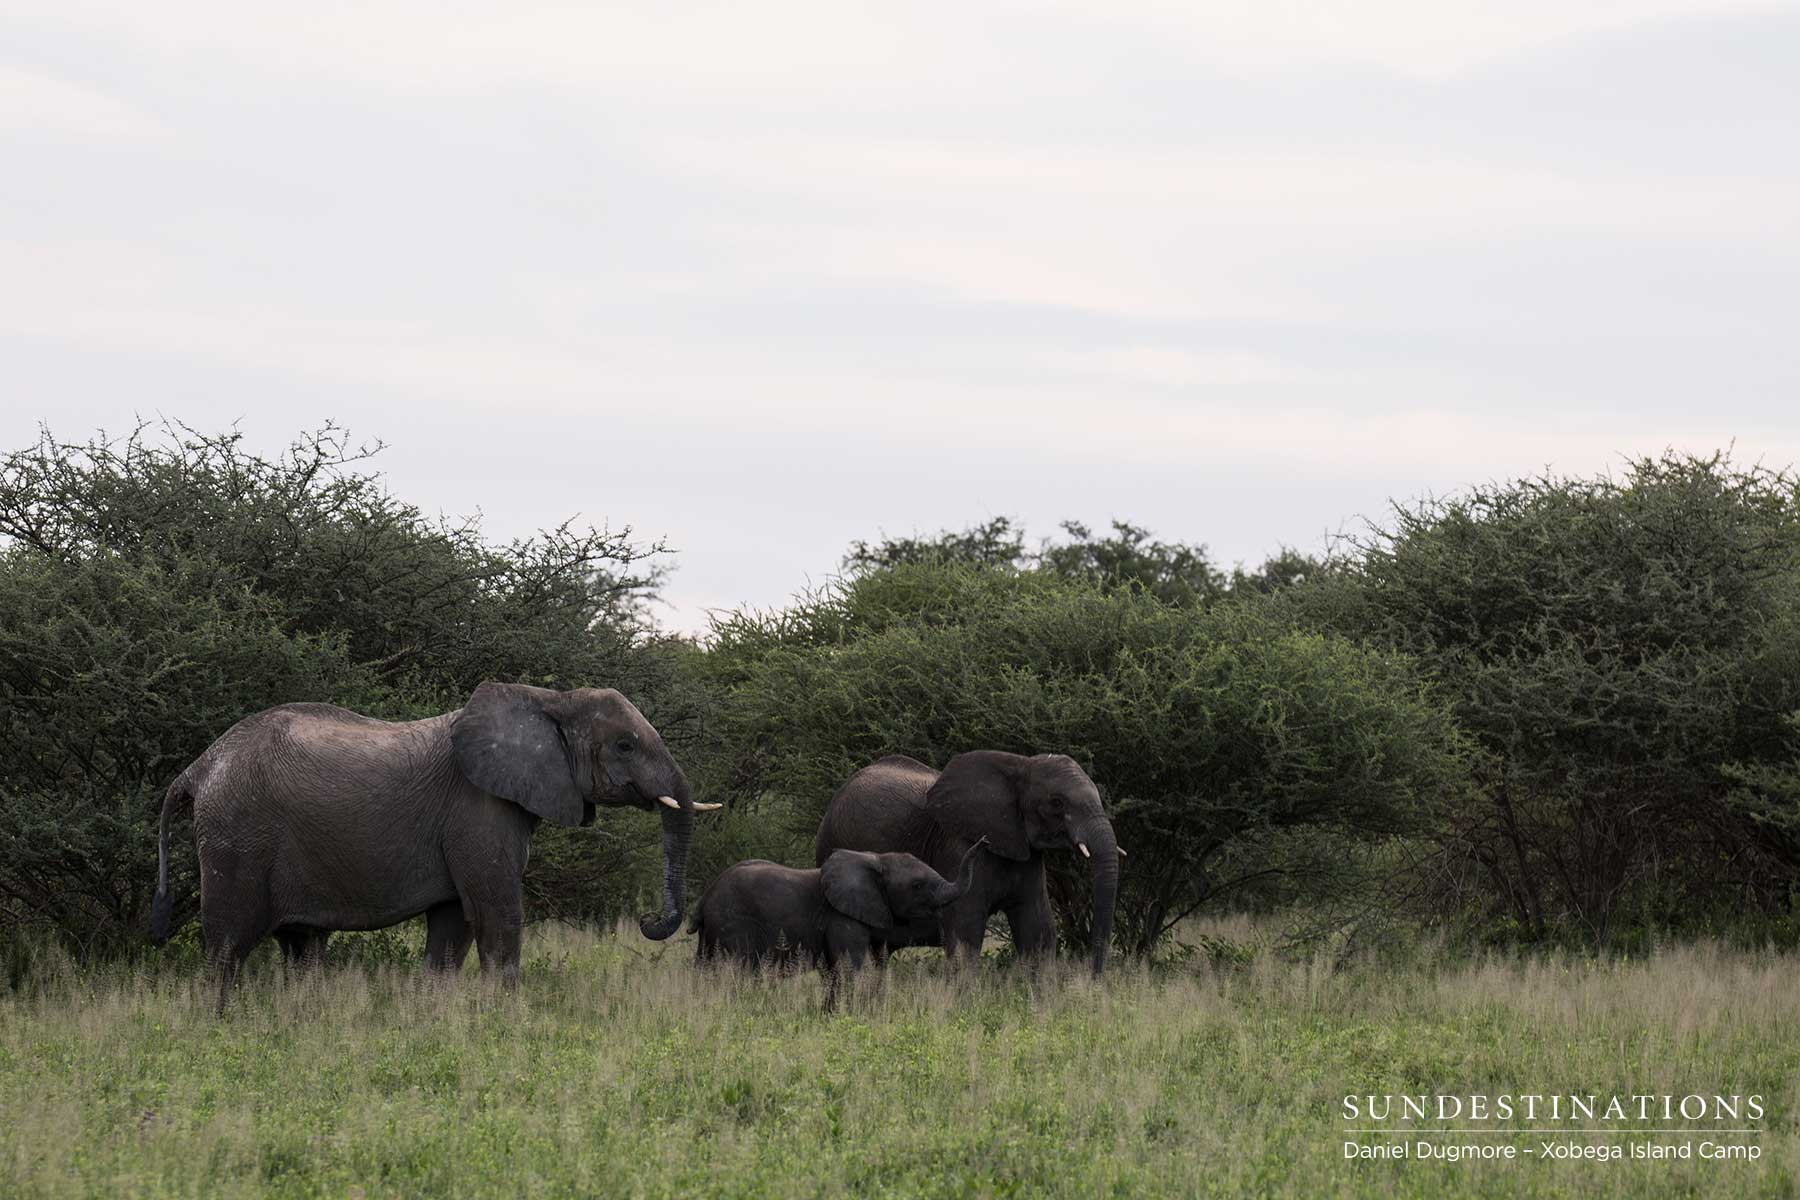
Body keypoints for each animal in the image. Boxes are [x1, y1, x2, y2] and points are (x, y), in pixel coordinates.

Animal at [151, 681, 716, 997]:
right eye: (625, 745)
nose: (647, 920)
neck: (548, 700)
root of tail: (199, 767)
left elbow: (453, 925)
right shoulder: (478, 808)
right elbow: (495, 913)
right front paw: (503, 1019)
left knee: (302, 946)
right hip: (237, 834)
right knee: (228, 944)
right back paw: (221, 1022)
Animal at [814, 751, 1121, 973]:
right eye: (1057, 802)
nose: (1095, 977)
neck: (1020, 765)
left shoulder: (1027, 854)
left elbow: (1038, 929)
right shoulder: (957, 845)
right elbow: (965, 930)